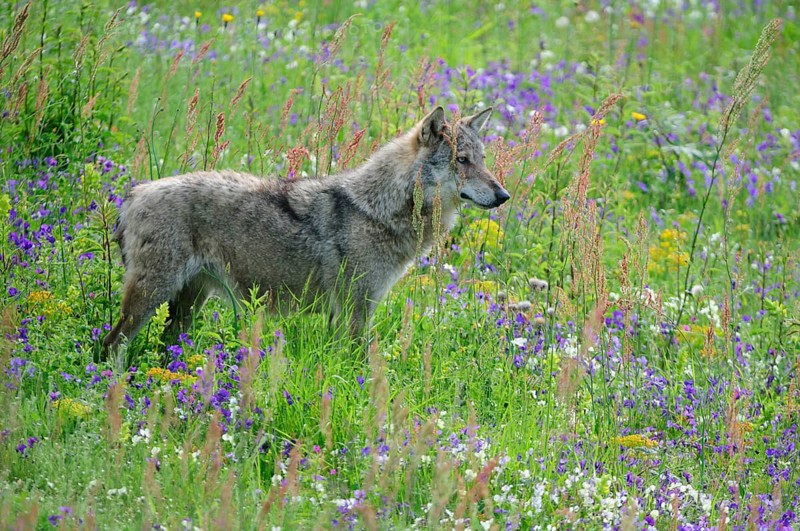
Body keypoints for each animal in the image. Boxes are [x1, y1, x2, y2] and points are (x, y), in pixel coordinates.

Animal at [102, 106, 509, 356]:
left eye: (482, 160)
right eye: (462, 161)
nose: (504, 195)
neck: (378, 211)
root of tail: (134, 194)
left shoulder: (345, 313)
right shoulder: (356, 311)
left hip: (186, 306)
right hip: (152, 298)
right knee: (109, 344)